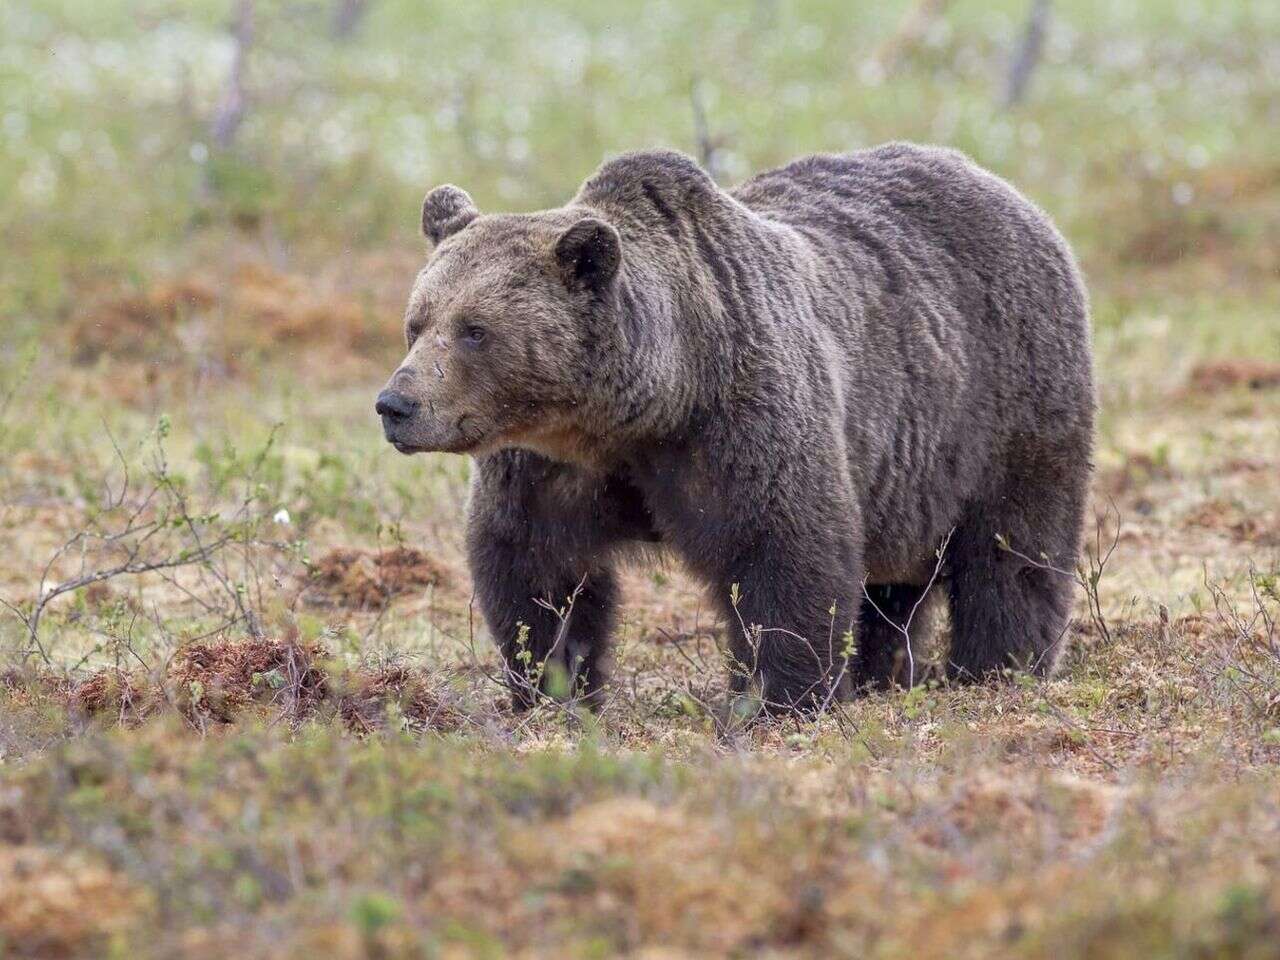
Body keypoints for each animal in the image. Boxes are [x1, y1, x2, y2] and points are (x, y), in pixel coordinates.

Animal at [373, 142, 1095, 716]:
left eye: (475, 330)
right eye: (417, 321)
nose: (395, 403)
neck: (644, 407)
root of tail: (1004, 188)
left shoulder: (738, 420)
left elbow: (783, 553)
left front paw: (781, 696)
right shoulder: (550, 467)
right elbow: (536, 570)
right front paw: (553, 688)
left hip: (1008, 397)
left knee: (1012, 553)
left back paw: (997, 672)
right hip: (906, 475)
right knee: (892, 591)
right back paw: (882, 675)